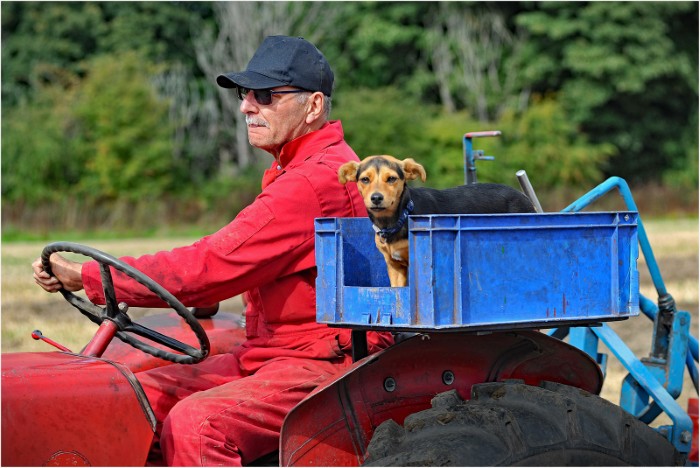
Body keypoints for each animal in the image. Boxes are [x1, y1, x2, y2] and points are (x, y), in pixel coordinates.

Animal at [338, 155, 535, 287]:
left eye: (392, 178)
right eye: (365, 179)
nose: (376, 198)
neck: (400, 218)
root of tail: (524, 197)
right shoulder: (395, 267)